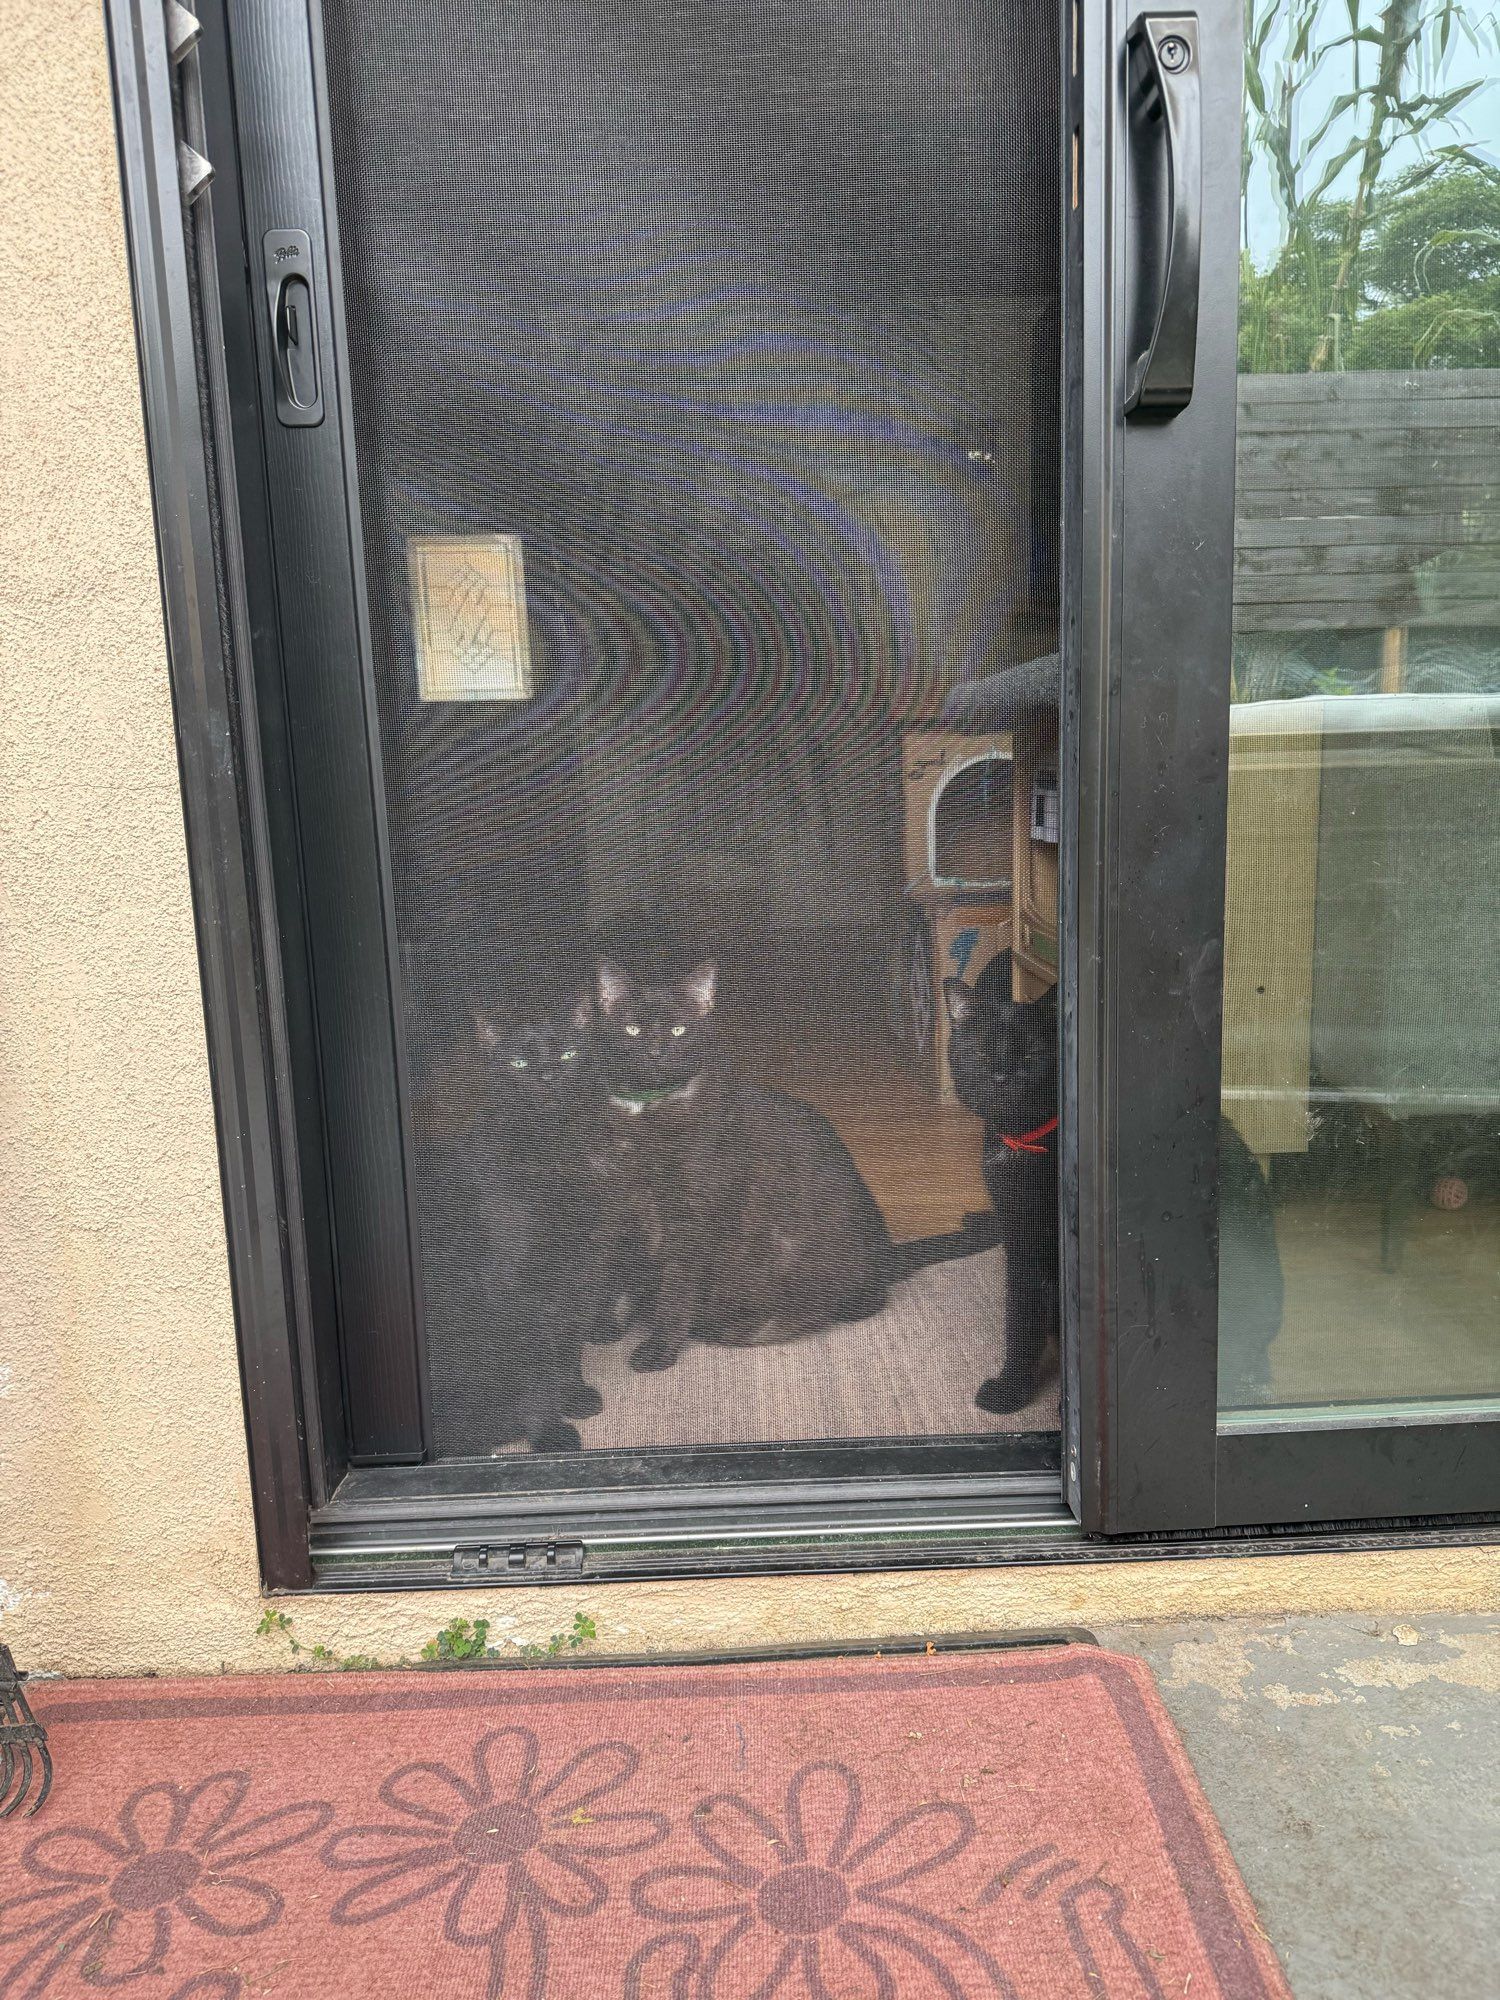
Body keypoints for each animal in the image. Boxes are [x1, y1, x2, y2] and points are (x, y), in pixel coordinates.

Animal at [418, 988, 604, 1448]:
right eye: (519, 1062)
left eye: (569, 1053)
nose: (549, 1077)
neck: (554, 1149)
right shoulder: (514, 1289)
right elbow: (535, 1371)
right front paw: (550, 1434)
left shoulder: (580, 1273)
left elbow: (567, 1350)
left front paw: (574, 1395)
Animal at [588, 956, 892, 1368]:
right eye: (632, 1029)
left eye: (679, 1029)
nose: (655, 1051)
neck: (647, 1109)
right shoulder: (615, 1202)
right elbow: (612, 1270)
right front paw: (607, 1322)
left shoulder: (690, 1221)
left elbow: (674, 1290)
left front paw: (659, 1348)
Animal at [944, 964, 1064, 1408]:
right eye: (981, 1053)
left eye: (1030, 1055)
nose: (1001, 1075)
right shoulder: (1019, 1239)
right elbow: (1021, 1313)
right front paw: (1013, 1386)